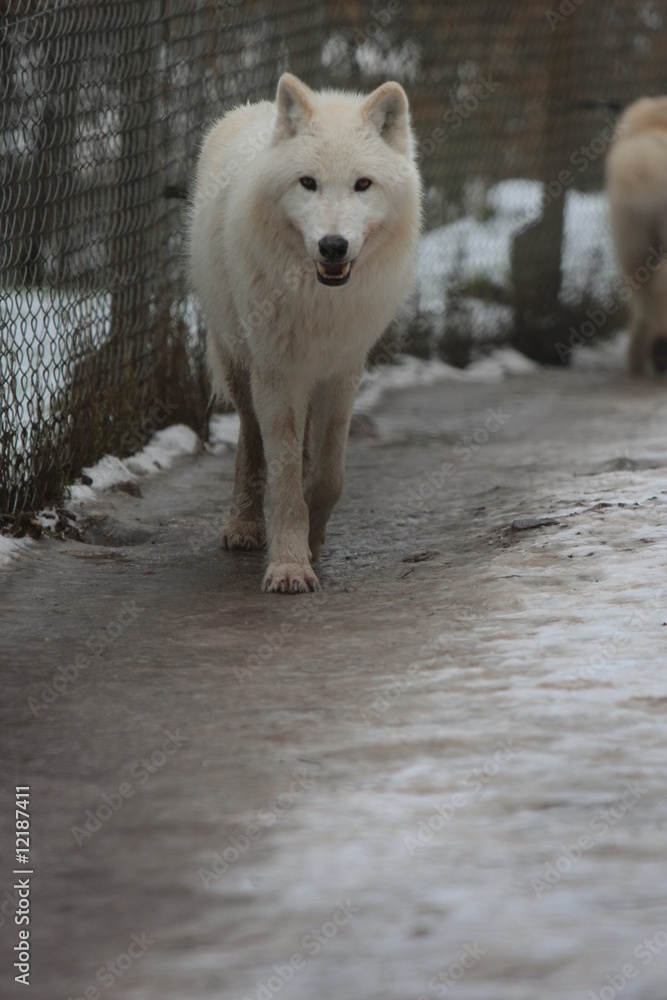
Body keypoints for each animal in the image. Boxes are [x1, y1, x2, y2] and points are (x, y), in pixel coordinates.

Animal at [188, 73, 422, 592]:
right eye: (308, 183)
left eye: (362, 184)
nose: (333, 246)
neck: (320, 300)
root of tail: (255, 107)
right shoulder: (277, 373)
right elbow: (285, 477)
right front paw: (290, 565)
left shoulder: (343, 370)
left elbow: (328, 476)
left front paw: (312, 543)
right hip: (240, 363)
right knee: (250, 441)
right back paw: (245, 525)